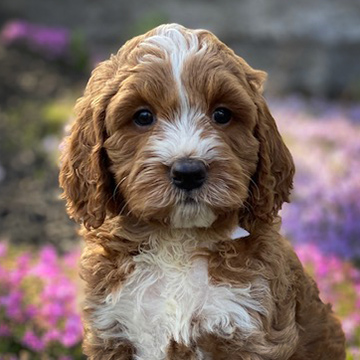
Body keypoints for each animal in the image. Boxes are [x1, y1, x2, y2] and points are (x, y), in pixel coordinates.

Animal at [59, 23, 346, 358]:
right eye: (143, 116)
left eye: (221, 114)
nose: (188, 172)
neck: (177, 242)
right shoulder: (113, 328)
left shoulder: (248, 328)